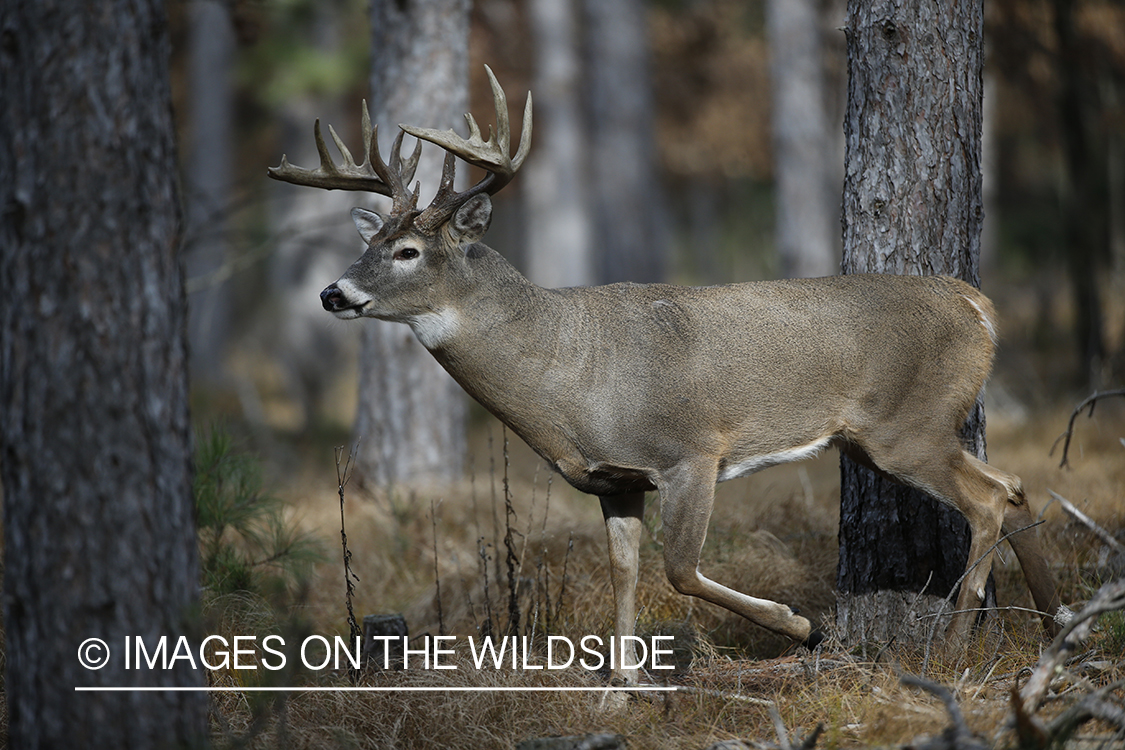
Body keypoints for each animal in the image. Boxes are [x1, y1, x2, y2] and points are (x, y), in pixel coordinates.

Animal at [272, 67, 1062, 683]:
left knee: (987, 500)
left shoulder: (691, 451)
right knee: (1015, 487)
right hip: (890, 434)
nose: (333, 293)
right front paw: (621, 685)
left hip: (907, 425)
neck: (567, 372)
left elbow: (678, 569)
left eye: (407, 251)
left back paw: (953, 650)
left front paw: (802, 626)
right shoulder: (612, 478)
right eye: (369, 242)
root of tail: (976, 303)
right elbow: (623, 571)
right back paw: (1055, 625)